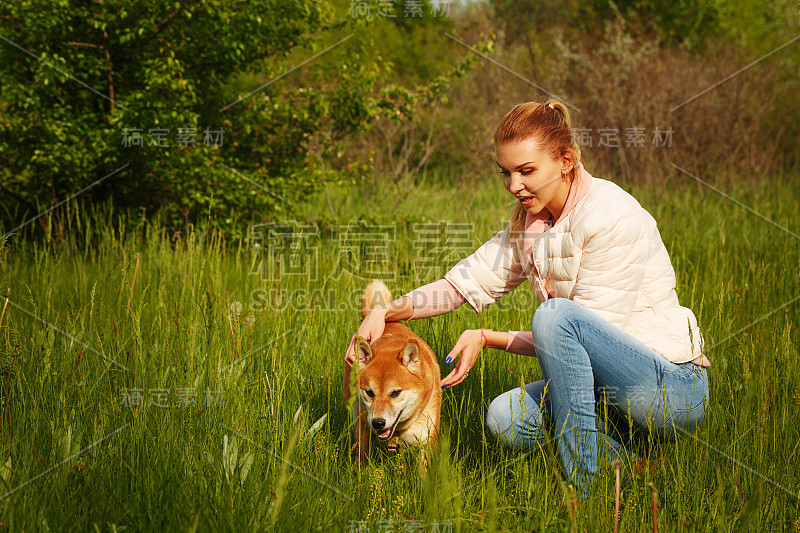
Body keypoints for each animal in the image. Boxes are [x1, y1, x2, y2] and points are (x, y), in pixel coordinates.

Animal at [344, 278, 444, 462]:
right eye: (369, 392)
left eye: (396, 393)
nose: (378, 422)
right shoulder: (364, 430)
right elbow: (361, 460)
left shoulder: (426, 441)